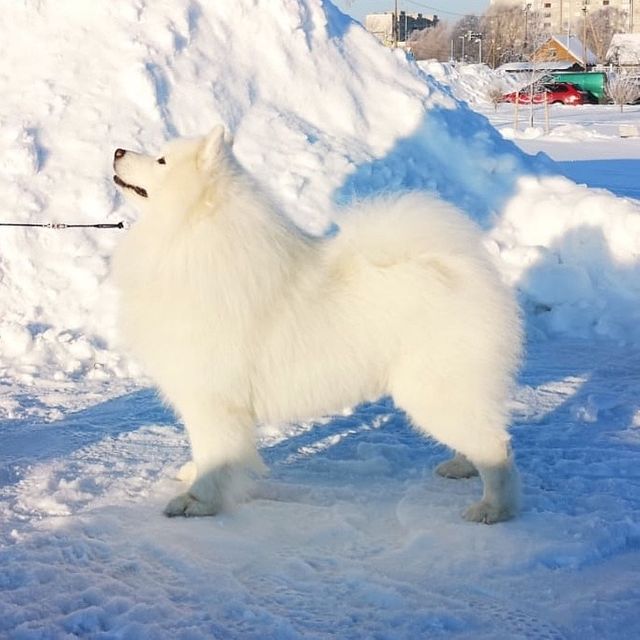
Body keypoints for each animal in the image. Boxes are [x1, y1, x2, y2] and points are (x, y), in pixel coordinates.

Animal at [112, 126, 524, 524]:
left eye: (161, 160)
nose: (117, 151)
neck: (191, 235)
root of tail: (456, 268)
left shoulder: (212, 397)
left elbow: (216, 452)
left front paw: (198, 502)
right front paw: (194, 475)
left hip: (434, 391)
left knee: (497, 446)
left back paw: (493, 508)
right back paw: (461, 466)